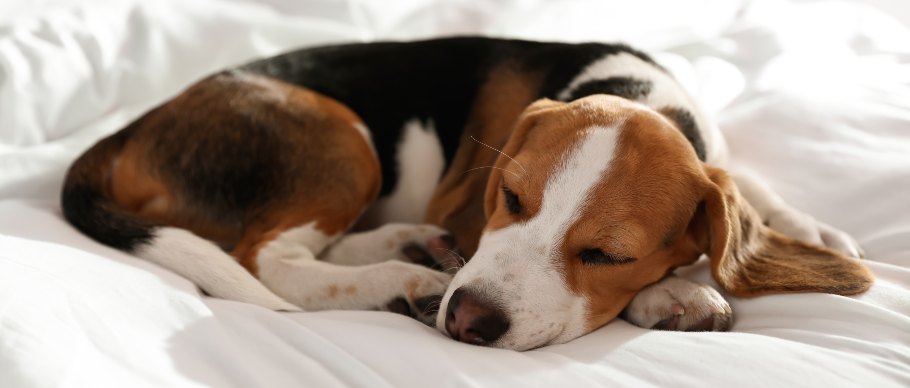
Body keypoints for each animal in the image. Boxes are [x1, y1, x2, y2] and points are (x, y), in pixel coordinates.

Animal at [60, 38, 872, 350]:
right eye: (508, 198)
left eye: (607, 254)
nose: (467, 319)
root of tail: (131, 129)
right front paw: (673, 293)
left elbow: (743, 192)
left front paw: (806, 232)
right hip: (342, 139)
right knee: (267, 258)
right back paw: (404, 276)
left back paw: (409, 247)